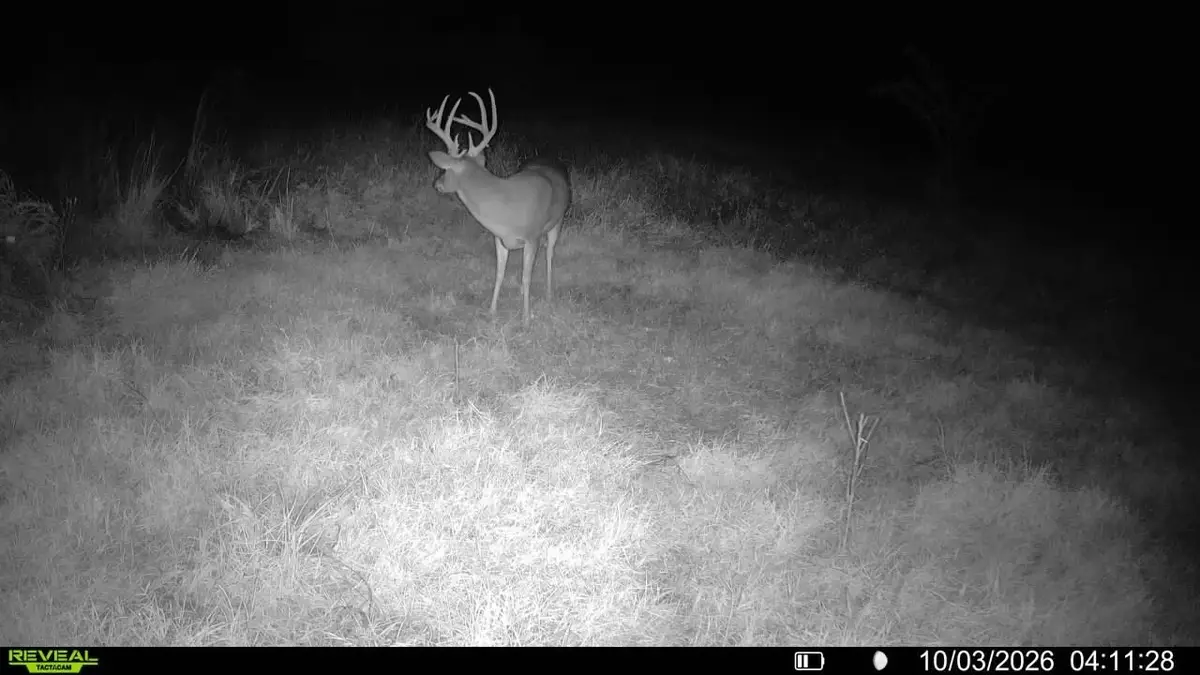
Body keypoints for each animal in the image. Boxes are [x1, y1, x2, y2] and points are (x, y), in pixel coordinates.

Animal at [425, 88, 571, 324]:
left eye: (445, 170)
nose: (436, 184)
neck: (504, 207)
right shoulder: (499, 237)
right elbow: (500, 273)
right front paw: (492, 311)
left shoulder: (532, 237)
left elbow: (526, 277)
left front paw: (526, 318)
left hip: (557, 223)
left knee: (550, 255)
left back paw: (549, 294)